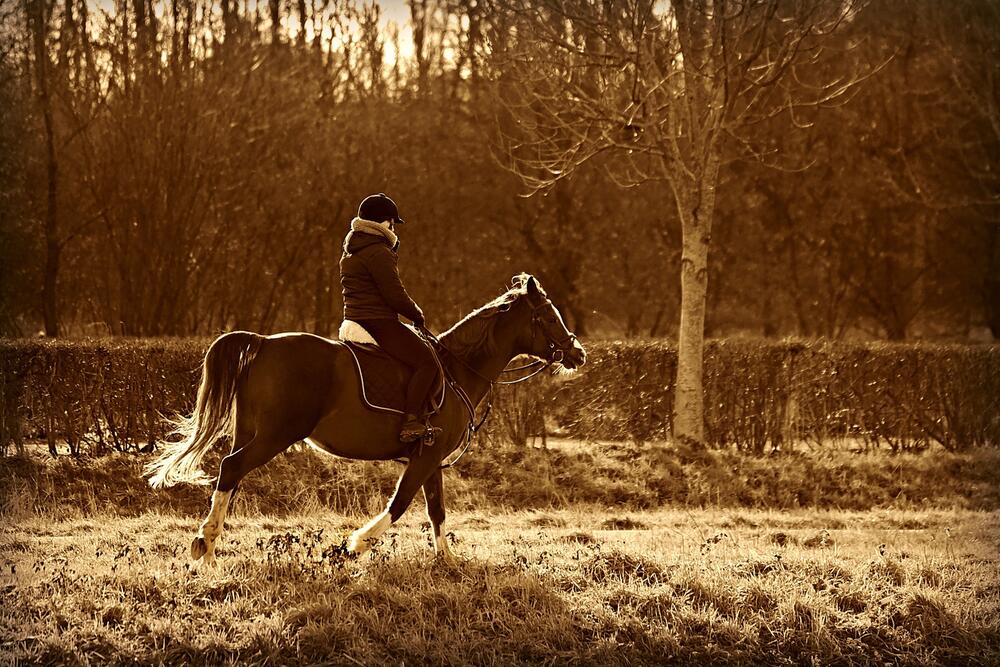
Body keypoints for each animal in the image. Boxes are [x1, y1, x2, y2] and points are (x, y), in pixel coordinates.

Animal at [146, 274, 584, 568]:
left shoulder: (432, 459)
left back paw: (208, 542)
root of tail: (264, 342)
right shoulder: (424, 458)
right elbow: (401, 503)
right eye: (549, 315)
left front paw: (446, 561)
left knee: (230, 478)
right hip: (274, 435)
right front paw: (354, 545)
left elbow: (436, 510)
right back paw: (206, 545)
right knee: (231, 468)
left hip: (250, 431)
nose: (578, 353)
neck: (458, 369)